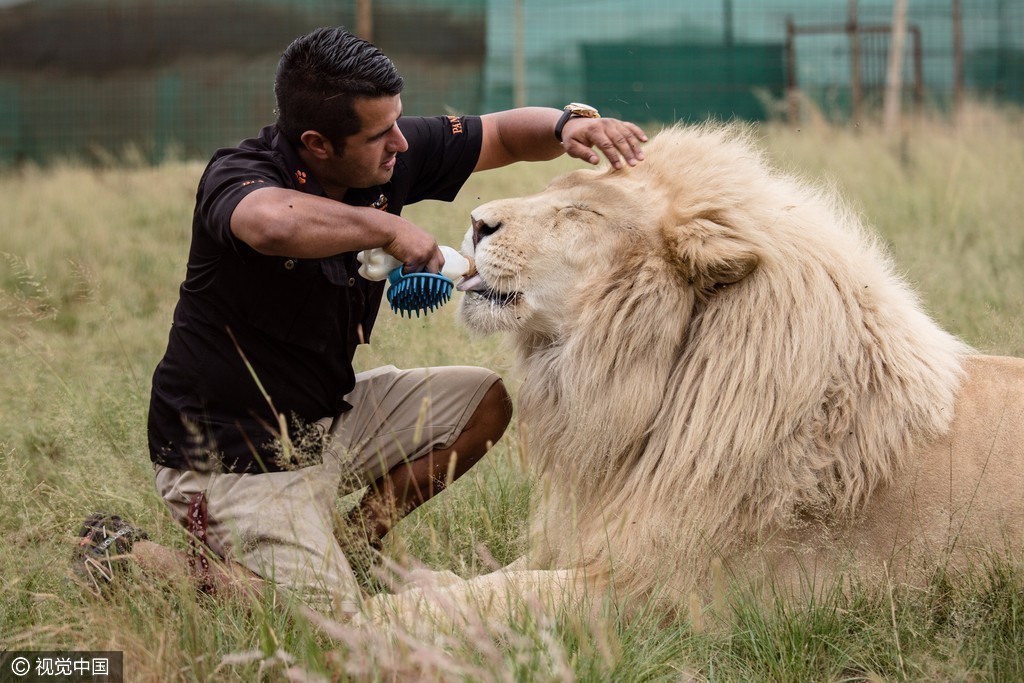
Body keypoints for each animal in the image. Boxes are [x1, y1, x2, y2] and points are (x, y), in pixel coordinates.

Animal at [362, 124, 1024, 630]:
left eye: (579, 213)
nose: (476, 222)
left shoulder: (663, 591)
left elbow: (499, 596)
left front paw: (365, 617)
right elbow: (489, 580)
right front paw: (407, 581)